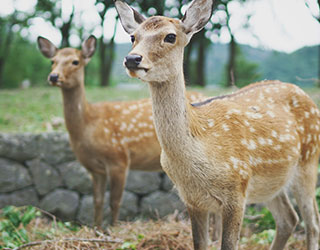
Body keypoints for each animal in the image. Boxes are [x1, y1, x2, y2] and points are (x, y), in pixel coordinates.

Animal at [37, 34, 205, 229]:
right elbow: (97, 201)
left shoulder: (119, 158)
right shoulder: (95, 169)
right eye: (53, 61)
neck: (89, 125)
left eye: (75, 61)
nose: (53, 76)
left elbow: (115, 201)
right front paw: (97, 229)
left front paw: (113, 229)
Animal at [116, 0, 320, 249]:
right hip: (271, 184)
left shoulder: (237, 189)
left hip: (308, 162)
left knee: (312, 222)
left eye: (170, 36)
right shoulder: (192, 199)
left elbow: (229, 244)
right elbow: (200, 244)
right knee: (288, 219)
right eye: (133, 37)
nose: (132, 59)